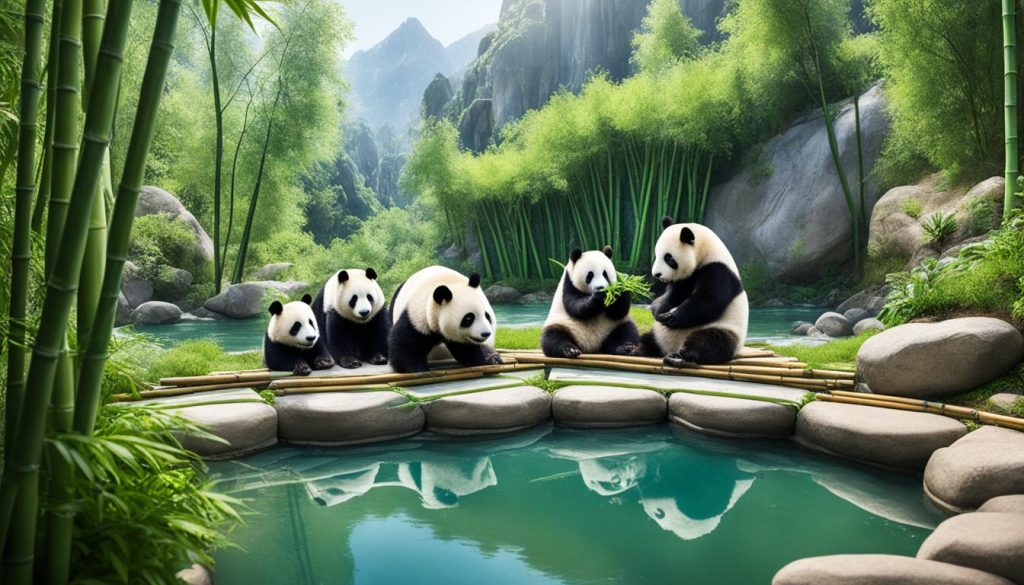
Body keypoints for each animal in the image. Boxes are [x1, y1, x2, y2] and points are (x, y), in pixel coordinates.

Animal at [637, 218, 748, 366]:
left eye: (668, 258)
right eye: (656, 255)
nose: (656, 274)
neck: (706, 252)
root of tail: (668, 348)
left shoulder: (718, 271)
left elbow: (708, 301)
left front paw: (671, 316)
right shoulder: (683, 280)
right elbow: (672, 296)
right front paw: (659, 312)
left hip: (724, 327)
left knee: (710, 341)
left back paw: (682, 356)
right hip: (658, 331)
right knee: (649, 338)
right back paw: (634, 348)